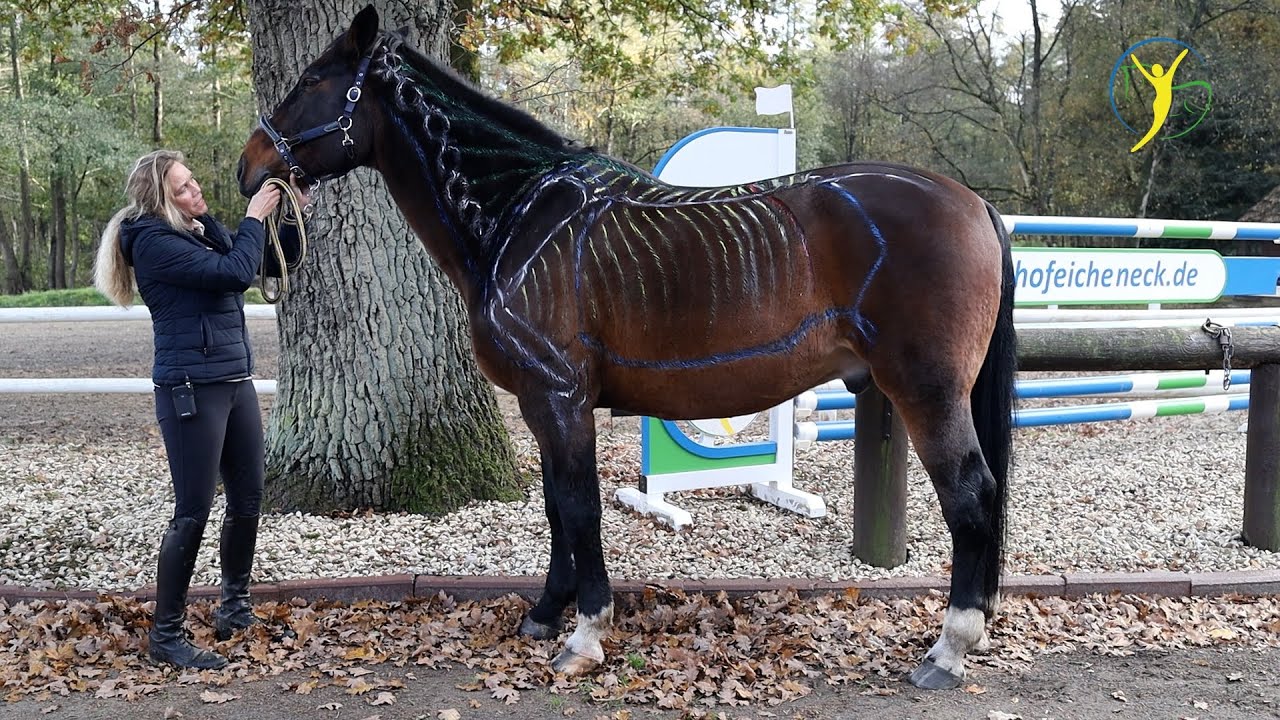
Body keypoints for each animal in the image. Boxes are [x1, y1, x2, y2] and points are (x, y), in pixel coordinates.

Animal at [237, 5, 1017, 690]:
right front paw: (546, 614)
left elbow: (581, 510)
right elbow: (557, 506)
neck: (519, 217)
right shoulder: (542, 404)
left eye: (313, 79)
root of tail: (974, 203)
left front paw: (585, 636)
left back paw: (950, 648)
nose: (249, 166)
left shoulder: (560, 397)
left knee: (973, 496)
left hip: (927, 393)